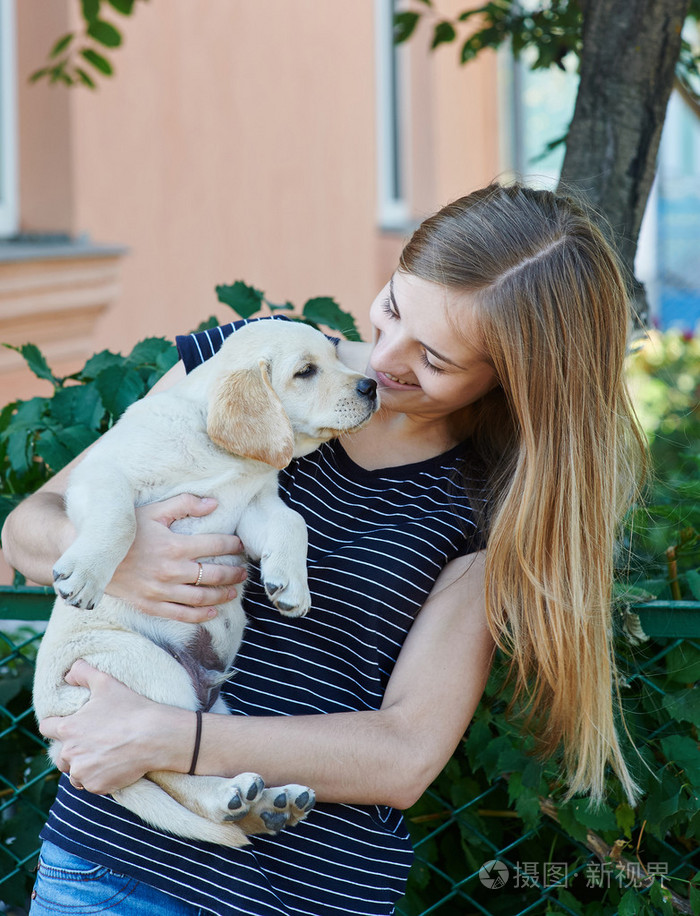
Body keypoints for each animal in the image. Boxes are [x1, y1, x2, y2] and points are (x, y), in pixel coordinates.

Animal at [34, 318, 378, 848]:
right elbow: (120, 520)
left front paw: (290, 585)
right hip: (146, 672)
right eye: (305, 371)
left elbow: (293, 522)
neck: (220, 452)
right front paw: (86, 574)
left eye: (338, 358)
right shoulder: (104, 473)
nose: (372, 386)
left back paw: (269, 805)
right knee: (161, 768)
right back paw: (230, 797)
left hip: (212, 710)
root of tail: (53, 736)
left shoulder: (256, 506)